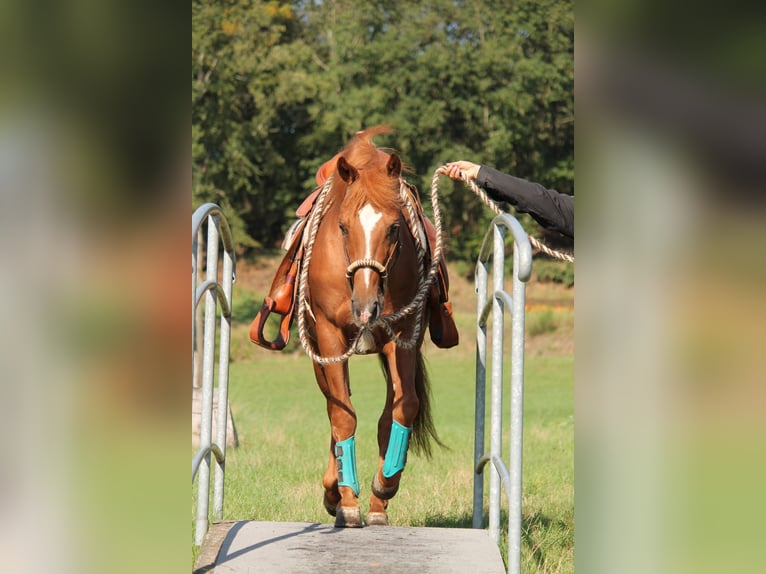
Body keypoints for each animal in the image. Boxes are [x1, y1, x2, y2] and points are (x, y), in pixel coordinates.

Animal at [300, 128, 444, 528]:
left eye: (394, 228)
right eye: (343, 227)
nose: (365, 307)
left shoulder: (403, 336)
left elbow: (401, 409)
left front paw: (384, 488)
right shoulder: (330, 339)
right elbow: (343, 416)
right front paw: (346, 500)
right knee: (335, 409)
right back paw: (334, 492)